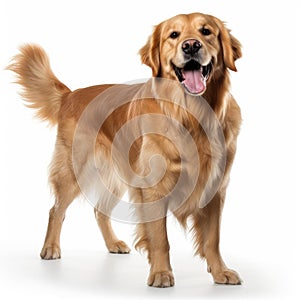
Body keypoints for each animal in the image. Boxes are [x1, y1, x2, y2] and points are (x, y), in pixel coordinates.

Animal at [7, 12, 241, 288]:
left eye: (206, 31)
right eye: (174, 35)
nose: (191, 46)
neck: (190, 116)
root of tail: (71, 95)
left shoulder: (215, 187)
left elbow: (213, 239)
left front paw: (220, 272)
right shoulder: (153, 189)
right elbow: (160, 238)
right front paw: (161, 274)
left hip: (117, 175)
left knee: (99, 211)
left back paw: (113, 244)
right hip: (75, 170)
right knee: (56, 210)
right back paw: (51, 248)